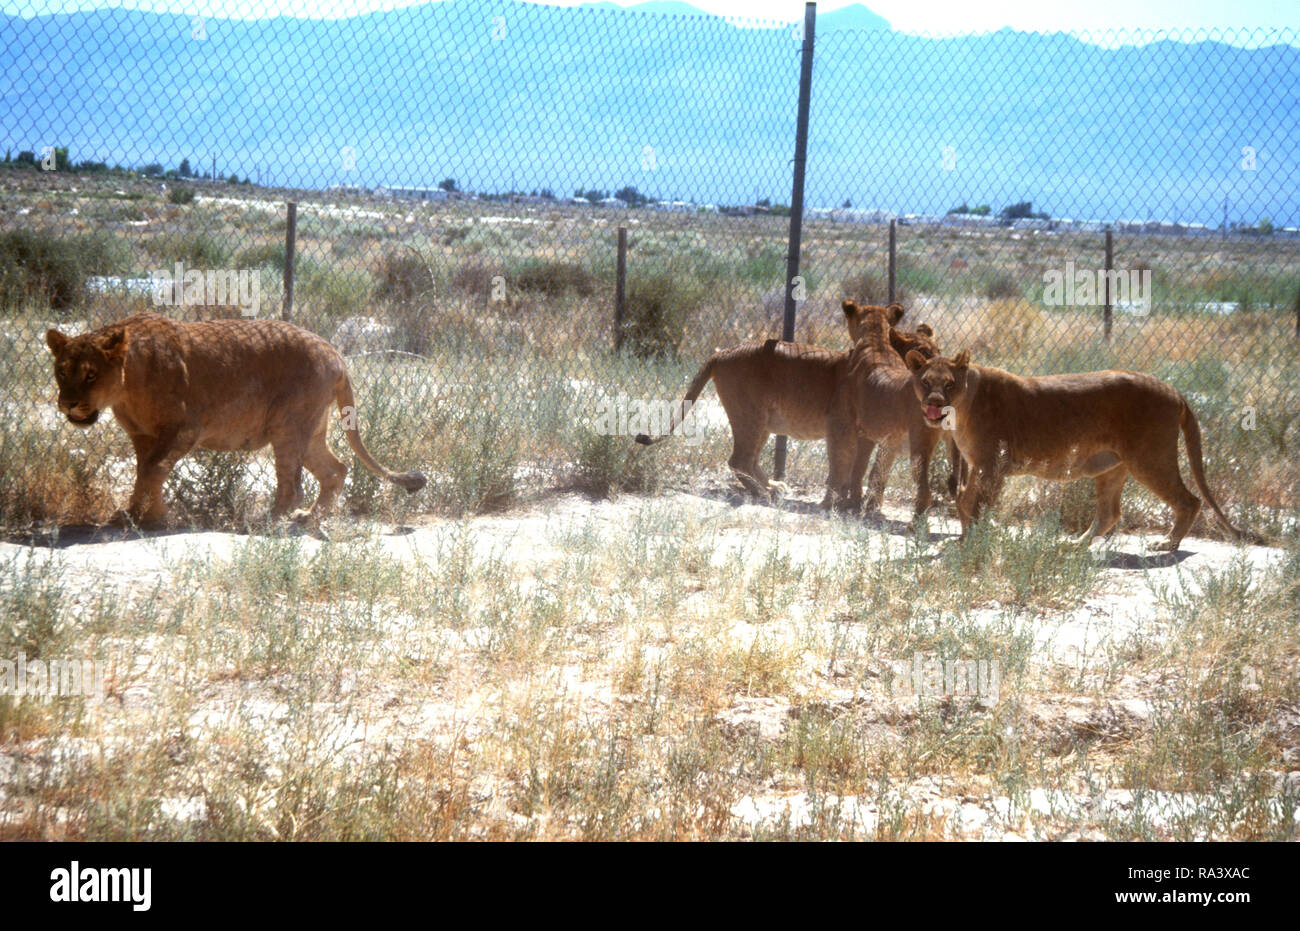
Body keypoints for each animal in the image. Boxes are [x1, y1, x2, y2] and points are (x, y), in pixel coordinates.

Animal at [45, 313, 426, 527]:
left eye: (91, 374)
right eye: (62, 371)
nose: (68, 404)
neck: (127, 383)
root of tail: (335, 352)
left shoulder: (185, 429)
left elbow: (153, 469)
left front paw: (152, 519)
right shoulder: (143, 436)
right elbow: (144, 471)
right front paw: (133, 515)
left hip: (288, 426)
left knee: (293, 484)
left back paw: (270, 521)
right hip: (312, 430)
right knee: (336, 469)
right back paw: (309, 519)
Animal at [631, 301, 946, 509]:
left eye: (938, 350)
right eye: (924, 352)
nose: (942, 372)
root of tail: (722, 352)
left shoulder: (866, 434)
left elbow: (860, 467)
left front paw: (853, 501)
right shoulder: (840, 425)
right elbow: (843, 465)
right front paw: (838, 502)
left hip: (762, 421)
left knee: (750, 459)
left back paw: (774, 487)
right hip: (750, 414)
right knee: (739, 460)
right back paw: (764, 494)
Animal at [904, 348, 1248, 553]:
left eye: (949, 384)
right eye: (926, 382)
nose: (934, 403)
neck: (962, 410)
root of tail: (1174, 390)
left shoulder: (993, 464)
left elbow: (977, 504)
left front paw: (973, 542)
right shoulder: (977, 464)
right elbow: (963, 499)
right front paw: (964, 539)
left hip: (1151, 459)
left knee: (1190, 500)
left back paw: (1167, 544)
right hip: (1113, 468)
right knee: (1110, 513)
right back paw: (1075, 544)